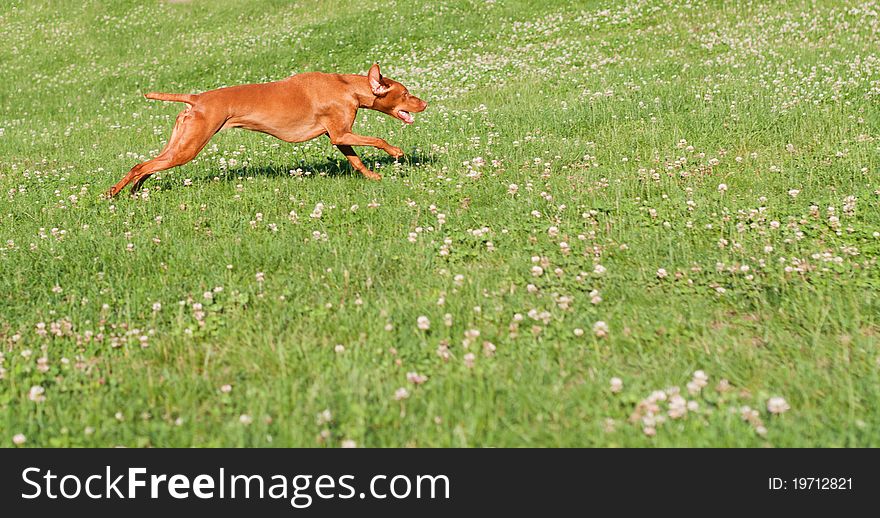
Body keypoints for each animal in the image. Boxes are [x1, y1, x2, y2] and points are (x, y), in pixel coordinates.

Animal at [106, 63, 426, 197]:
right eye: (406, 93)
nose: (425, 103)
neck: (346, 87)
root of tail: (197, 99)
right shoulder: (341, 133)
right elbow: (378, 138)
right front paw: (396, 152)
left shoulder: (338, 137)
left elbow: (356, 160)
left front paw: (372, 176)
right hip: (189, 147)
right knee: (141, 166)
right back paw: (113, 193)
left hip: (179, 143)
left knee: (144, 165)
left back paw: (135, 189)